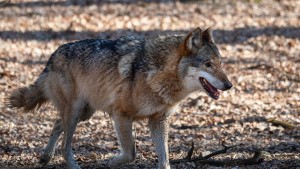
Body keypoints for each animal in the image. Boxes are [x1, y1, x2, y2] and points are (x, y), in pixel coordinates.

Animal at [7, 27, 232, 169]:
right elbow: (130, 153)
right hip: (76, 112)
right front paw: (110, 163)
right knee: (65, 145)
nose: (229, 85)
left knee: (55, 124)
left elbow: (165, 160)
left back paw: (45, 157)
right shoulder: (121, 115)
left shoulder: (159, 120)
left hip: (84, 113)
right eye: (208, 64)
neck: (159, 74)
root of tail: (53, 56)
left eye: (220, 63)